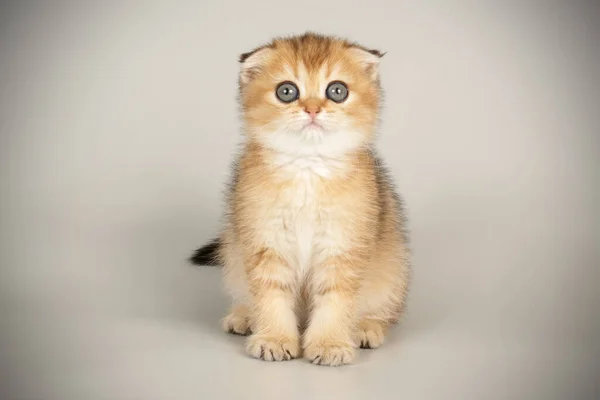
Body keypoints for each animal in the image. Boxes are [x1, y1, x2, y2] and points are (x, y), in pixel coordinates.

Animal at [192, 32, 412, 368]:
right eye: (287, 91)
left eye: (337, 91)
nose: (312, 109)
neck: (307, 167)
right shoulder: (265, 241)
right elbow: (271, 294)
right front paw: (274, 338)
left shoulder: (343, 245)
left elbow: (336, 299)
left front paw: (330, 343)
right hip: (233, 253)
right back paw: (244, 316)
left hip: (395, 264)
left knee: (386, 310)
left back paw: (365, 327)